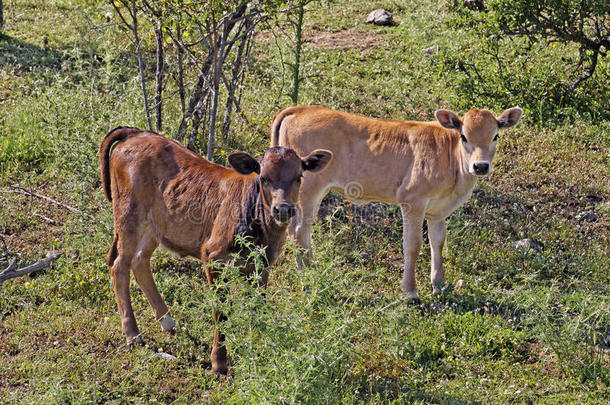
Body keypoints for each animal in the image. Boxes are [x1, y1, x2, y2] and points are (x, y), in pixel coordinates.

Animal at [100, 126, 330, 372]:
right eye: (264, 178)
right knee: (119, 264)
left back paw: (167, 321)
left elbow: (257, 307)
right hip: (128, 214)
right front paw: (219, 363)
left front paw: (257, 349)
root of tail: (136, 133)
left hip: (156, 225)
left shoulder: (263, 264)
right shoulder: (213, 256)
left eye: (298, 177)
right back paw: (133, 334)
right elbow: (220, 312)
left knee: (140, 260)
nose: (283, 209)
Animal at [270, 105, 524, 302]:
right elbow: (413, 245)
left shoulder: (438, 211)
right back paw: (310, 280)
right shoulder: (413, 201)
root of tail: (301, 108)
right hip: (308, 187)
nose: (480, 166)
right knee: (300, 232)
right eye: (464, 137)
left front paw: (439, 285)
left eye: (495, 136)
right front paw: (410, 292)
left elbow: (438, 243)